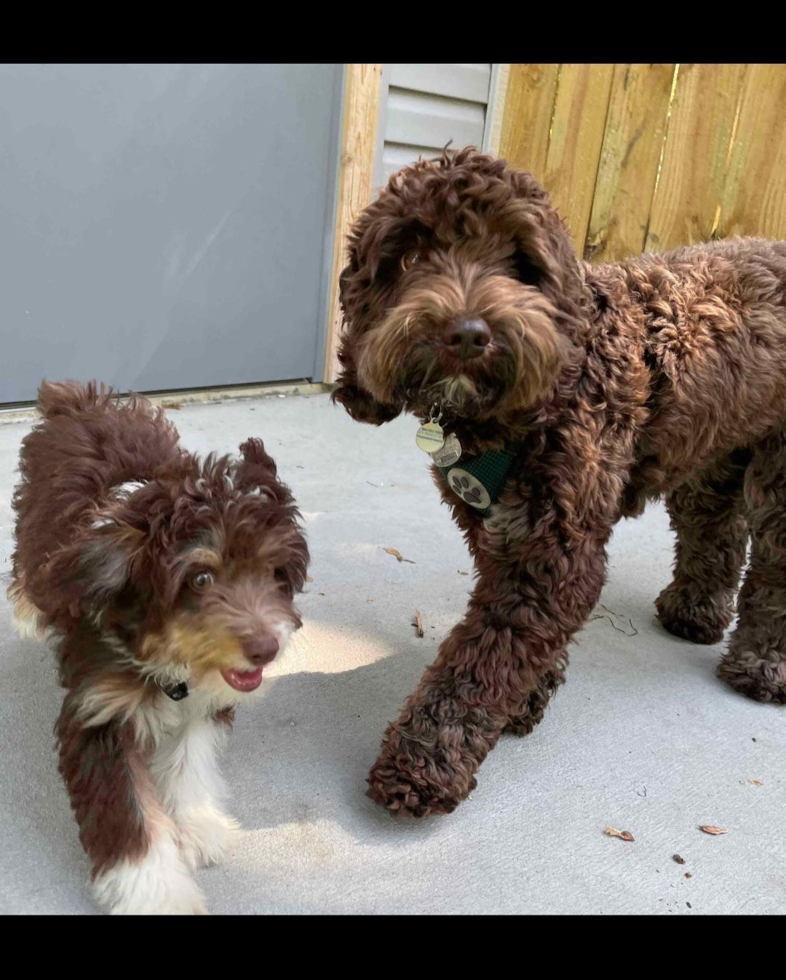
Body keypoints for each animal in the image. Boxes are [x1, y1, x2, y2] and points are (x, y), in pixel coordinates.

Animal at [11, 380, 310, 912]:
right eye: (201, 578)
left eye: (274, 572)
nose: (266, 648)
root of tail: (81, 400)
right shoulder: (99, 713)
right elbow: (131, 816)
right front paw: (157, 892)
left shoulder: (205, 702)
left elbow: (190, 763)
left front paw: (198, 826)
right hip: (33, 514)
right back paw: (26, 610)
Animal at [332, 145, 784, 820]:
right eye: (408, 258)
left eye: (522, 264)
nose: (467, 335)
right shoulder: (498, 530)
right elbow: (517, 635)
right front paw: (528, 694)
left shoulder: (556, 552)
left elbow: (479, 661)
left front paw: (424, 761)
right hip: (711, 449)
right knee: (714, 528)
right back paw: (694, 613)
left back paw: (761, 666)